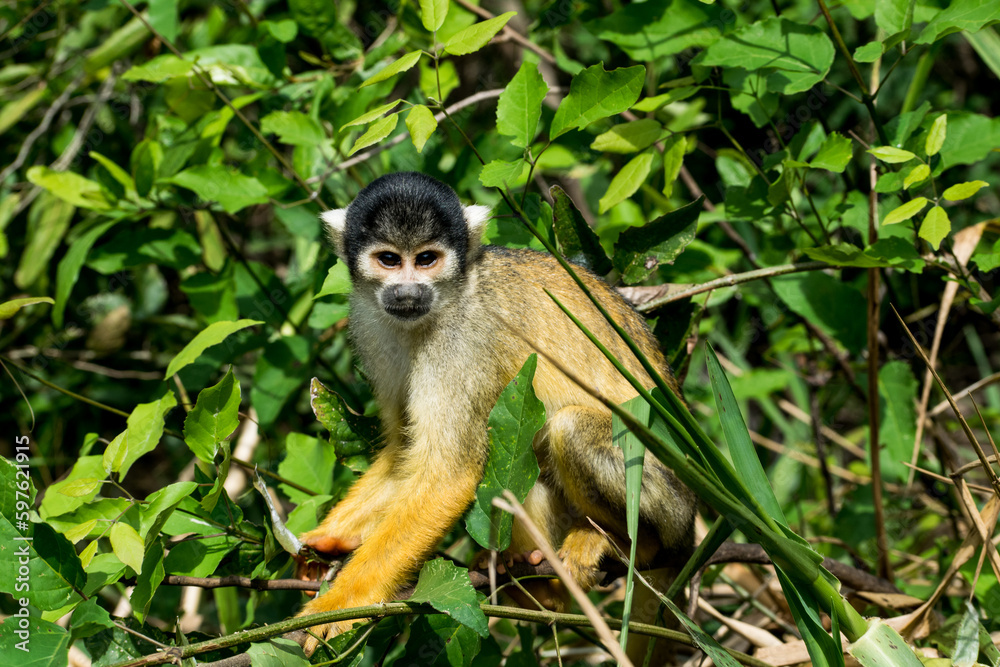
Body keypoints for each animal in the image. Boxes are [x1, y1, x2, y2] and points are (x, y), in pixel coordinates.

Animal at [296, 171, 696, 656]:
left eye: (426, 259)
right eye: (389, 260)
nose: (408, 291)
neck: (446, 300)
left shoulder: (465, 341)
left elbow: (447, 473)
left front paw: (335, 609)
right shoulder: (373, 326)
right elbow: (401, 453)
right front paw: (327, 539)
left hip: (671, 502)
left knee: (569, 429)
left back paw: (625, 544)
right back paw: (539, 586)